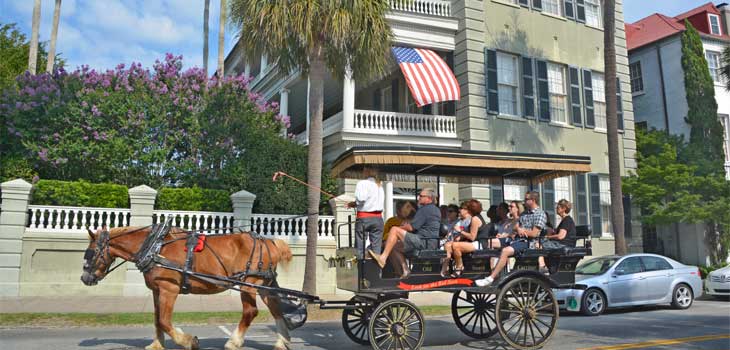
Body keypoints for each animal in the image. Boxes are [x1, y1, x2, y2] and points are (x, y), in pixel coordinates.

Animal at [80, 226, 292, 348]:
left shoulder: (169, 289)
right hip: (264, 285)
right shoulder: (157, 290)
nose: (84, 278)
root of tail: (270, 242)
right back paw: (282, 341)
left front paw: (188, 340)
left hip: (249, 284)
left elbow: (164, 321)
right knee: (276, 309)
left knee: (250, 311)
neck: (155, 248)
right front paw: (157, 345)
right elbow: (157, 320)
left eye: (90, 253)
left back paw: (234, 342)